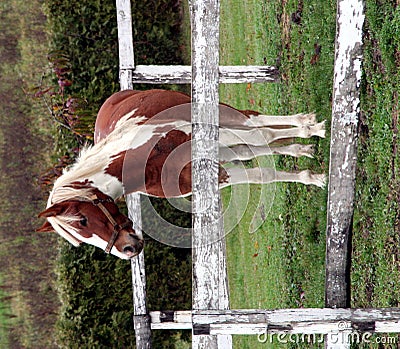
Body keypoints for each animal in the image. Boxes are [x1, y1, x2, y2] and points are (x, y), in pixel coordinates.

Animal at [37, 89, 326, 258]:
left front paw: (313, 151)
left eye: (82, 220)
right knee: (250, 148)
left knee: (256, 124)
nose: (128, 249)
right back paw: (301, 148)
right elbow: (260, 171)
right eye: (79, 241)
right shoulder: (207, 176)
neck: (142, 160)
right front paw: (308, 170)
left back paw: (307, 124)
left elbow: (262, 136)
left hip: (215, 117)